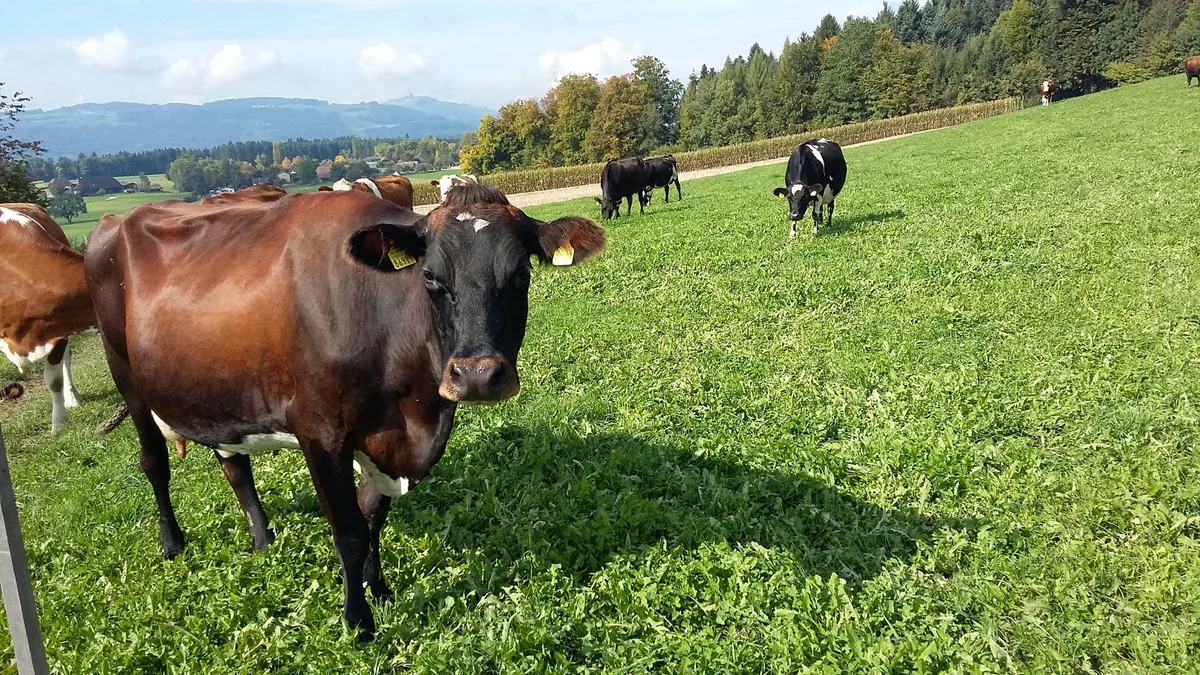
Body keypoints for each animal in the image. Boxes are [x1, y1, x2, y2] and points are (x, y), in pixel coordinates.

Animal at [83, 183, 605, 640]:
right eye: (430, 277)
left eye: (521, 275)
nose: (476, 375)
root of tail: (112, 222)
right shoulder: (320, 432)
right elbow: (350, 531)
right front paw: (359, 621)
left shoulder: (385, 436)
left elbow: (372, 517)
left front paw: (381, 590)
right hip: (126, 375)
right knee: (154, 463)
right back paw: (172, 543)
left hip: (212, 388)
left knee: (234, 464)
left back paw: (263, 539)